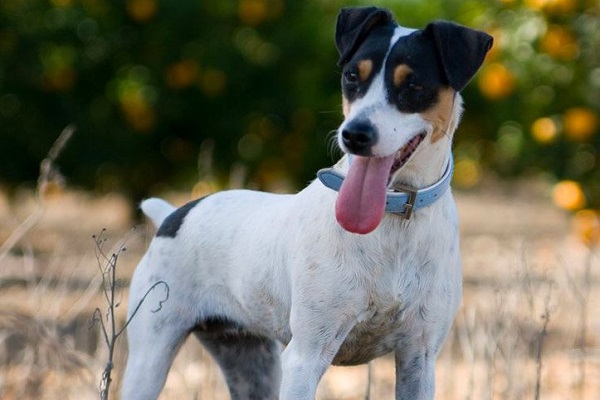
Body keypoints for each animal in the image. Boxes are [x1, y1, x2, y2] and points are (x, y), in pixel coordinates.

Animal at [122, 6, 492, 400]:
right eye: (351, 76)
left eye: (413, 85)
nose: (354, 135)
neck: (393, 220)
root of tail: (172, 215)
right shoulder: (305, 356)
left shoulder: (419, 356)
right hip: (150, 357)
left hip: (252, 363)